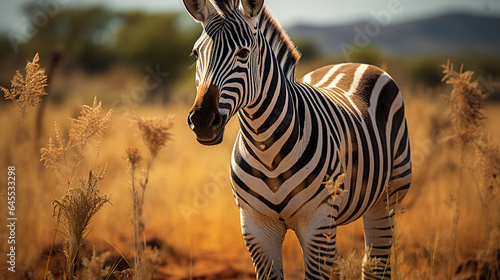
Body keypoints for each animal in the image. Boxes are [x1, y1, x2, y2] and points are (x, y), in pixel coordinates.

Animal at [182, 1, 412, 278]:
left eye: (243, 53)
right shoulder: (256, 226)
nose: (202, 121)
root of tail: (354, 64)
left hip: (388, 197)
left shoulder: (317, 223)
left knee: (376, 263)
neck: (266, 148)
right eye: (196, 54)